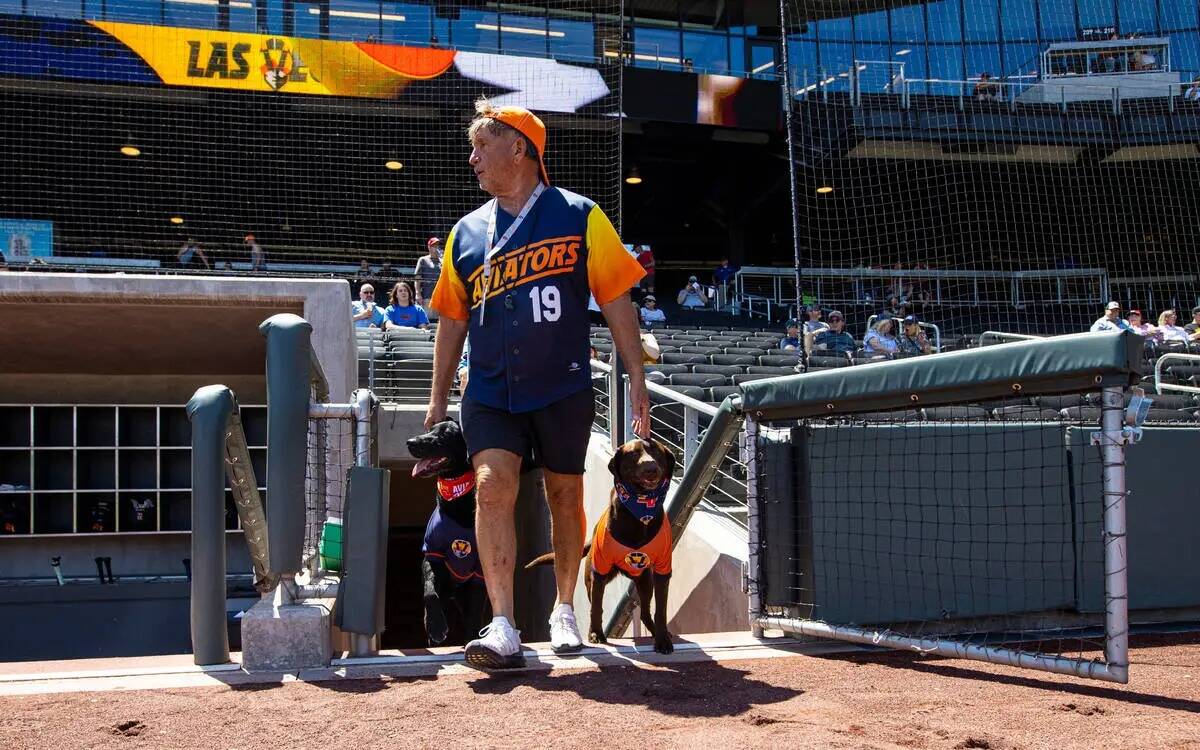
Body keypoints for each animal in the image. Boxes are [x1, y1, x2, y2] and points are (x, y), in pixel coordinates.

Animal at [408, 417, 492, 648]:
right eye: (429, 429)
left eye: (444, 435)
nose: (410, 442)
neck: (457, 500)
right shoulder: (432, 554)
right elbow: (429, 592)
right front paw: (436, 626)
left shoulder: (479, 573)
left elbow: (474, 615)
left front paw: (471, 641)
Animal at [525, 436, 676, 652]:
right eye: (633, 454)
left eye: (656, 451)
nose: (650, 468)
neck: (639, 514)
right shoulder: (598, 571)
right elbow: (596, 608)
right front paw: (596, 634)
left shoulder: (663, 570)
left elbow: (661, 610)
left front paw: (663, 640)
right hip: (593, 579)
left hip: (645, 581)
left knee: (646, 611)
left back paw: (655, 630)